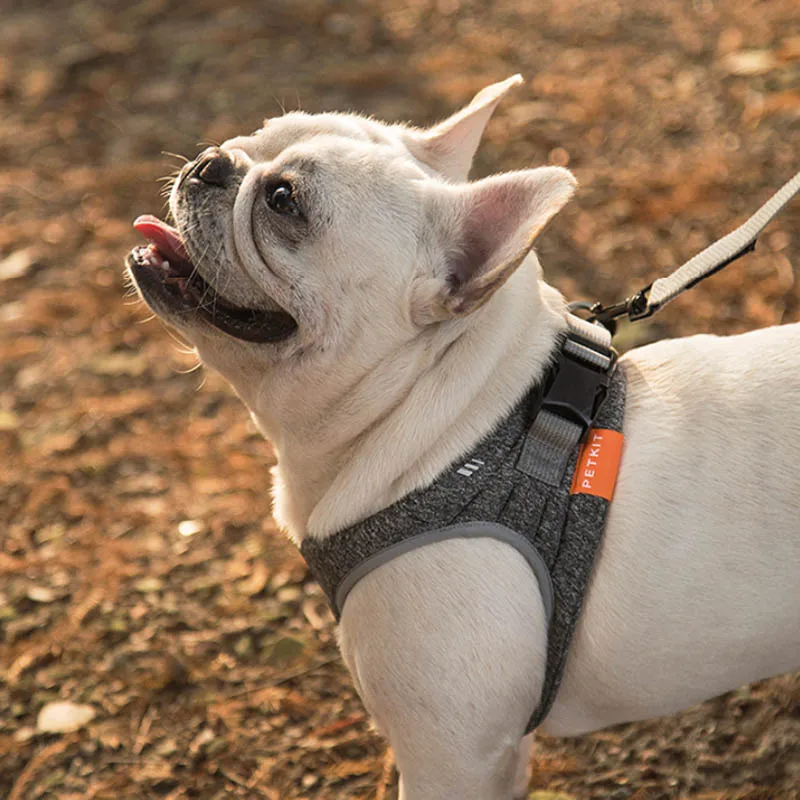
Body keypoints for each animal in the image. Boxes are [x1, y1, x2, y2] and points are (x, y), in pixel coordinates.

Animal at [126, 76, 800, 800]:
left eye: (284, 201)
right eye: (257, 133)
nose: (212, 161)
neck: (444, 422)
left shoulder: (448, 757)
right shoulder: (495, 753)